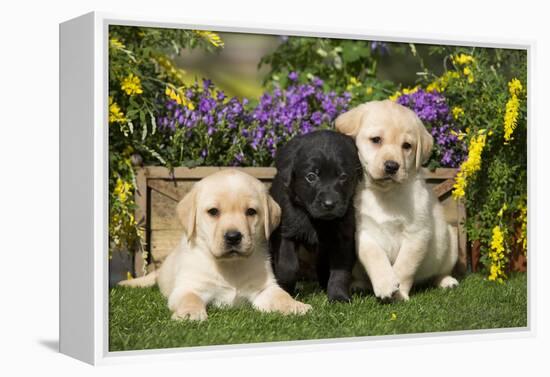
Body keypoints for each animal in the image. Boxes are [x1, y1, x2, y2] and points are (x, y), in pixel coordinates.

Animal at [119, 169, 312, 318]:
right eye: (213, 211)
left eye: (251, 212)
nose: (233, 237)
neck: (230, 265)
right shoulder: (187, 288)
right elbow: (190, 298)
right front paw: (190, 314)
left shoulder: (265, 289)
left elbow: (281, 295)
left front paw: (296, 306)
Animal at [270, 129, 364, 300]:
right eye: (311, 176)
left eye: (343, 176)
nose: (329, 204)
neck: (316, 220)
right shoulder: (286, 232)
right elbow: (288, 266)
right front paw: (285, 291)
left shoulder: (344, 237)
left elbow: (340, 270)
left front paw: (338, 296)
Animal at [336, 100, 462, 300]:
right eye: (376, 140)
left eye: (407, 145)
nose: (391, 166)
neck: (386, 193)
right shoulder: (363, 232)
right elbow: (374, 256)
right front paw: (385, 283)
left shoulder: (417, 234)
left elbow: (405, 266)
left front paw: (399, 293)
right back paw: (359, 285)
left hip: (450, 241)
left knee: (439, 272)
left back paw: (447, 281)